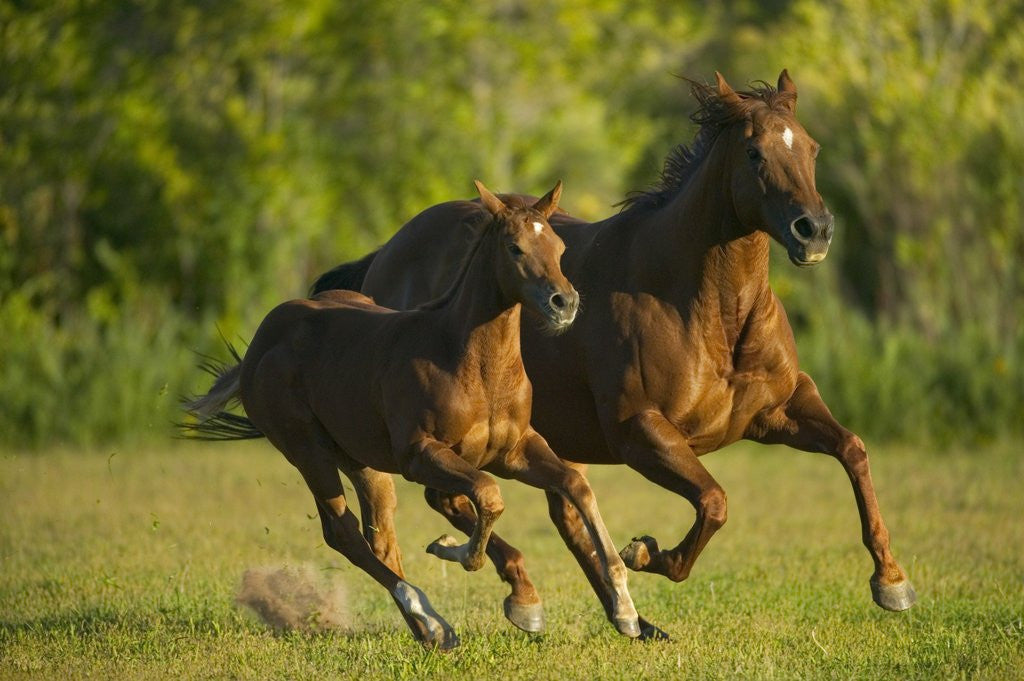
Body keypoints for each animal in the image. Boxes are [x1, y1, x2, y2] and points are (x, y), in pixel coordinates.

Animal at [184, 180, 642, 649]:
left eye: (558, 245)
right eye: (514, 247)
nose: (564, 302)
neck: (470, 364)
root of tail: (262, 340)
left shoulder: (514, 450)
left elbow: (574, 486)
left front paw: (624, 609)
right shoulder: (420, 455)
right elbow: (488, 496)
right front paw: (460, 556)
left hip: (361, 460)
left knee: (380, 538)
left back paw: (429, 627)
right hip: (307, 451)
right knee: (342, 532)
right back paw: (429, 616)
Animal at [311, 71, 917, 639]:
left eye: (811, 148)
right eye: (754, 152)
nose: (814, 231)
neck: (702, 309)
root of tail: (387, 254)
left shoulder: (780, 411)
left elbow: (853, 450)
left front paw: (892, 582)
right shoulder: (641, 432)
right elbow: (714, 501)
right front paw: (648, 552)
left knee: (550, 507)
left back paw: (625, 619)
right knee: (455, 500)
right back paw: (531, 597)